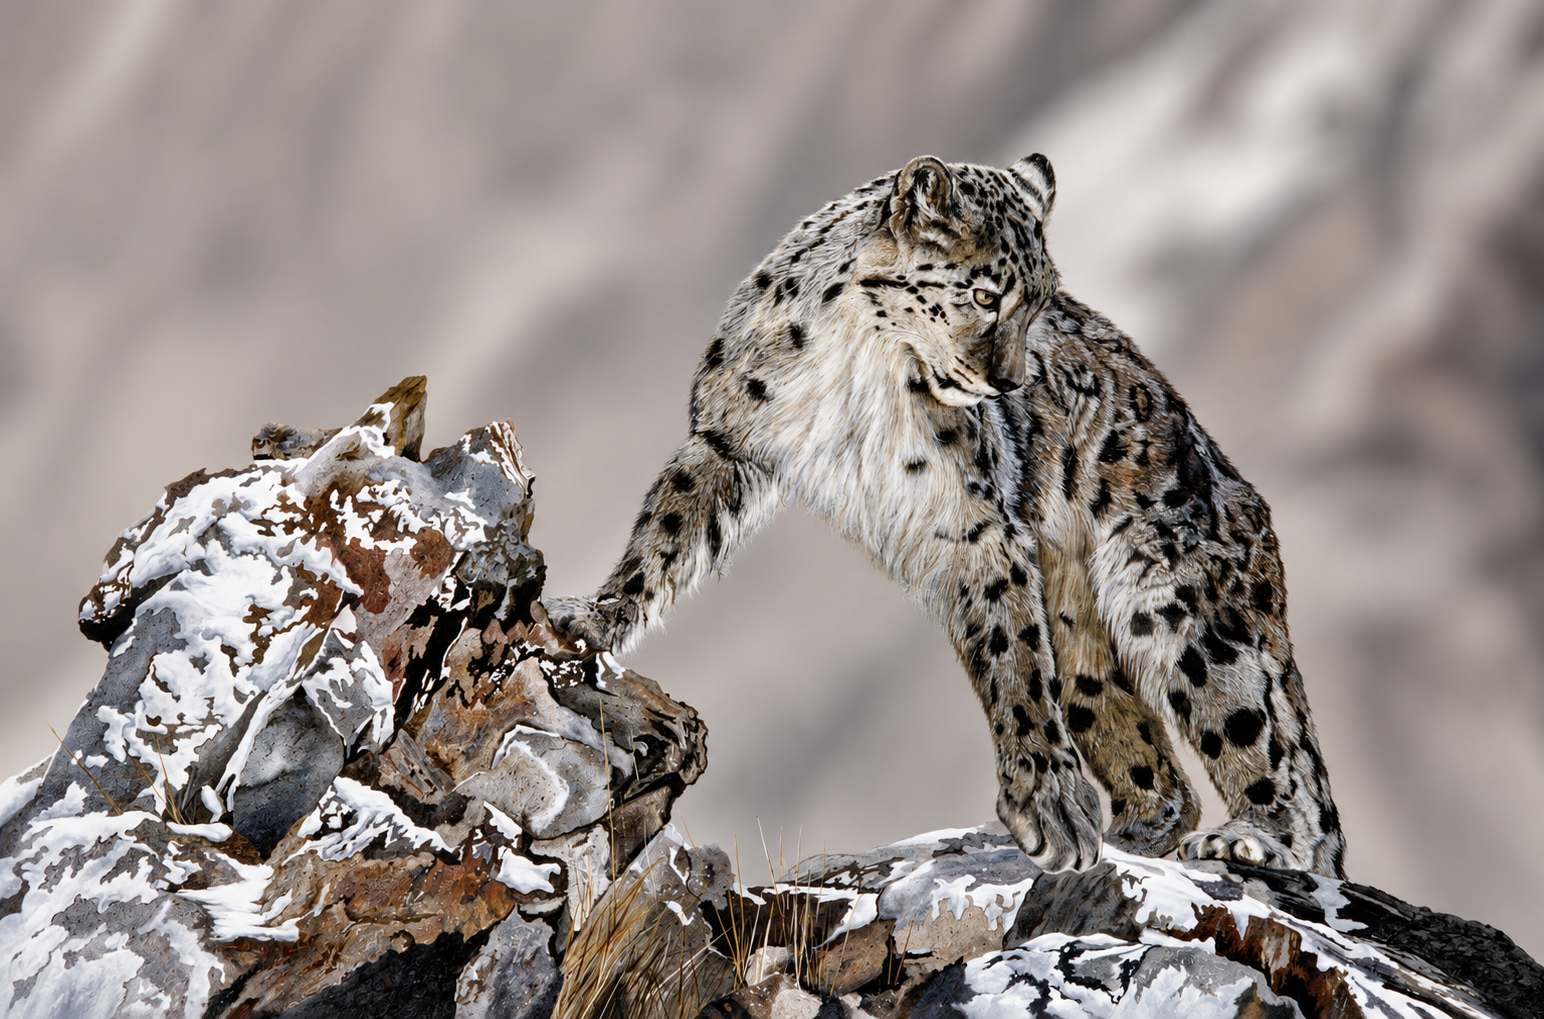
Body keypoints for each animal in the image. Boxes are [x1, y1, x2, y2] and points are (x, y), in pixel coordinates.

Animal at [546, 154, 1346, 877]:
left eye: (1041, 300)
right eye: (987, 292)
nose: (1011, 381)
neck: (852, 369)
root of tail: (1247, 501)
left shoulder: (974, 521)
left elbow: (1012, 661)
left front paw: (1048, 804)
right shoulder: (728, 438)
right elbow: (665, 537)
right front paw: (595, 618)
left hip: (1177, 602)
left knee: (1262, 742)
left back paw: (1254, 841)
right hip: (1081, 633)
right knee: (1146, 751)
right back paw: (1141, 831)